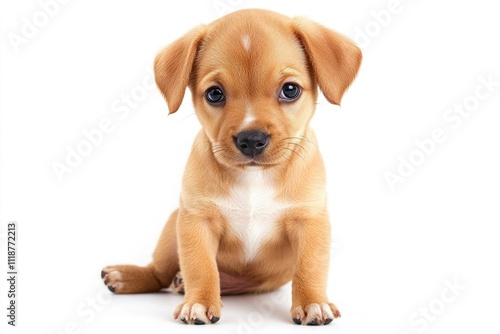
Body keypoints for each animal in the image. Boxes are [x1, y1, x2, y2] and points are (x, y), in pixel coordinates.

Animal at [100, 8, 360, 326]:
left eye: (290, 90)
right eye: (215, 94)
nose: (251, 140)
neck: (254, 178)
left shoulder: (310, 221)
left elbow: (310, 267)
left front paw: (313, 302)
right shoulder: (196, 220)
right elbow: (200, 265)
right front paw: (199, 302)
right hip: (172, 228)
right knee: (160, 272)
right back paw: (130, 276)